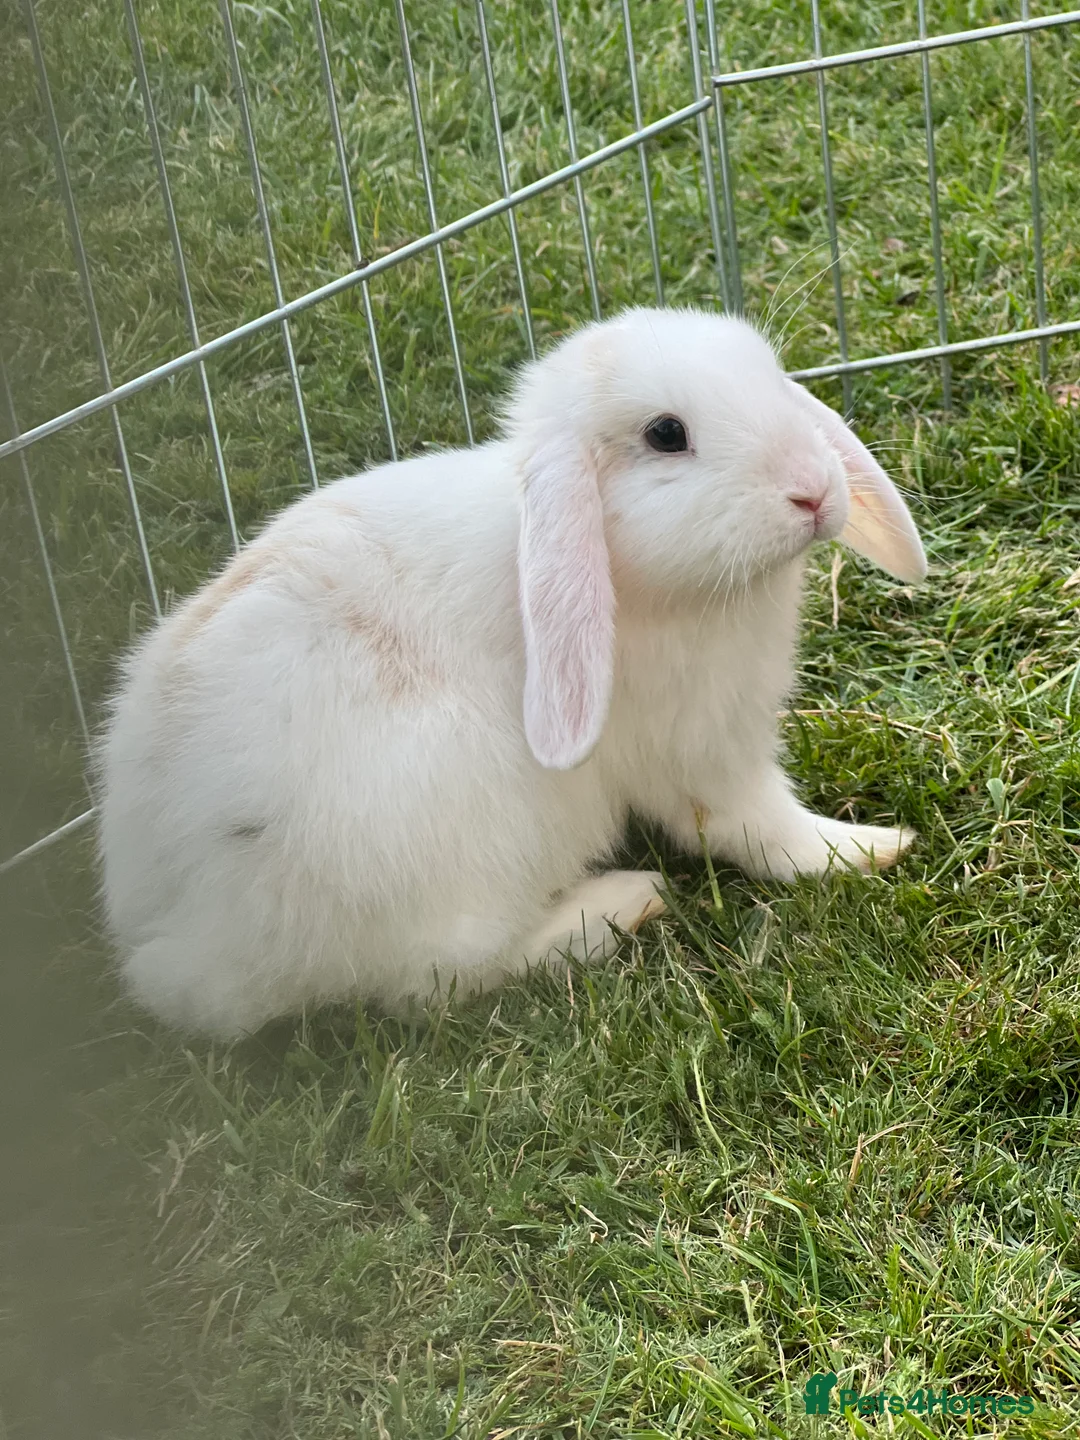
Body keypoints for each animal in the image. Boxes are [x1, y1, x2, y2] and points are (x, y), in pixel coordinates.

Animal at [97, 306, 927, 1039]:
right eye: (666, 434)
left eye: (772, 379)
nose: (815, 491)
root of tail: (183, 945)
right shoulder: (704, 749)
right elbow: (756, 826)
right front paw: (868, 847)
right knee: (441, 977)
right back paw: (617, 905)